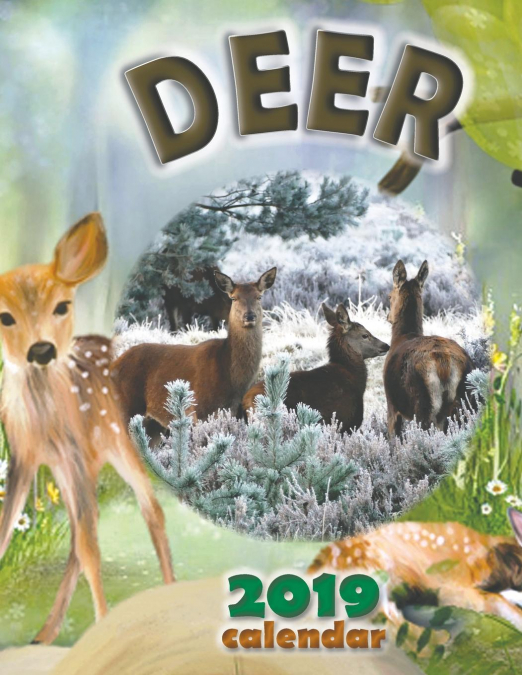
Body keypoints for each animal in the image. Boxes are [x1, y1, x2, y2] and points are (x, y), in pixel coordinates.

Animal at [0, 213, 174, 645]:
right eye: (5, 317)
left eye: (62, 306)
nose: (41, 350)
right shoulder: (24, 457)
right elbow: (8, 529)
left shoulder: (74, 453)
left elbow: (90, 545)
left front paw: (102, 624)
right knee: (85, 529)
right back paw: (44, 634)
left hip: (121, 447)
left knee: (150, 511)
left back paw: (169, 593)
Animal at [112, 267, 277, 427]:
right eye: (234, 298)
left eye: (259, 297)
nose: (249, 316)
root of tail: (114, 364)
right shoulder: (200, 409)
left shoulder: (234, 411)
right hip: (126, 406)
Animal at [384, 259, 474, 437]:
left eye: (389, 296)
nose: (388, 317)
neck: (402, 336)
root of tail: (444, 364)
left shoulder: (391, 404)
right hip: (465, 403)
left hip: (423, 403)